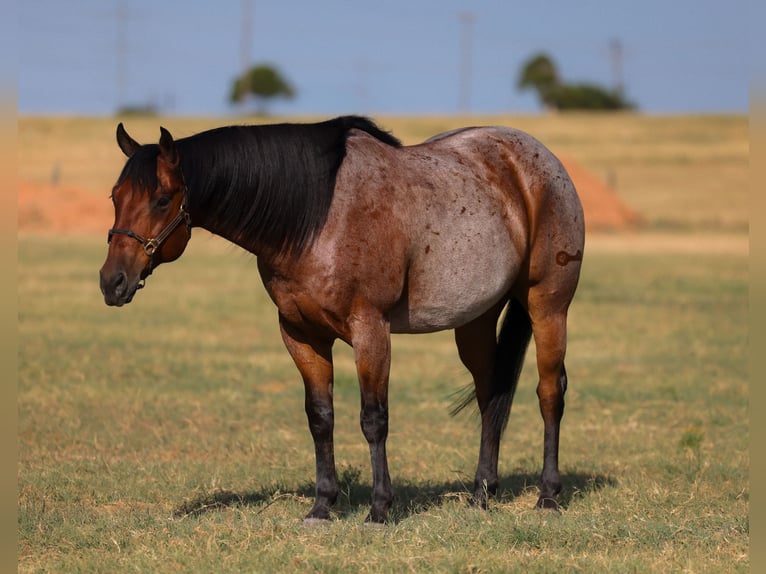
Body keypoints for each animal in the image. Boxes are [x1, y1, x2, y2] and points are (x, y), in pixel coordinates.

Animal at [99, 116, 584, 523]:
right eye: (115, 197)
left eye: (162, 199)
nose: (112, 282)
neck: (317, 218)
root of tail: (540, 160)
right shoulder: (300, 334)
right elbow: (320, 417)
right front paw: (322, 505)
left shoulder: (370, 330)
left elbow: (373, 418)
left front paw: (379, 509)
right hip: (475, 319)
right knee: (490, 395)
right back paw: (482, 493)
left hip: (548, 307)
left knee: (549, 392)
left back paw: (548, 495)